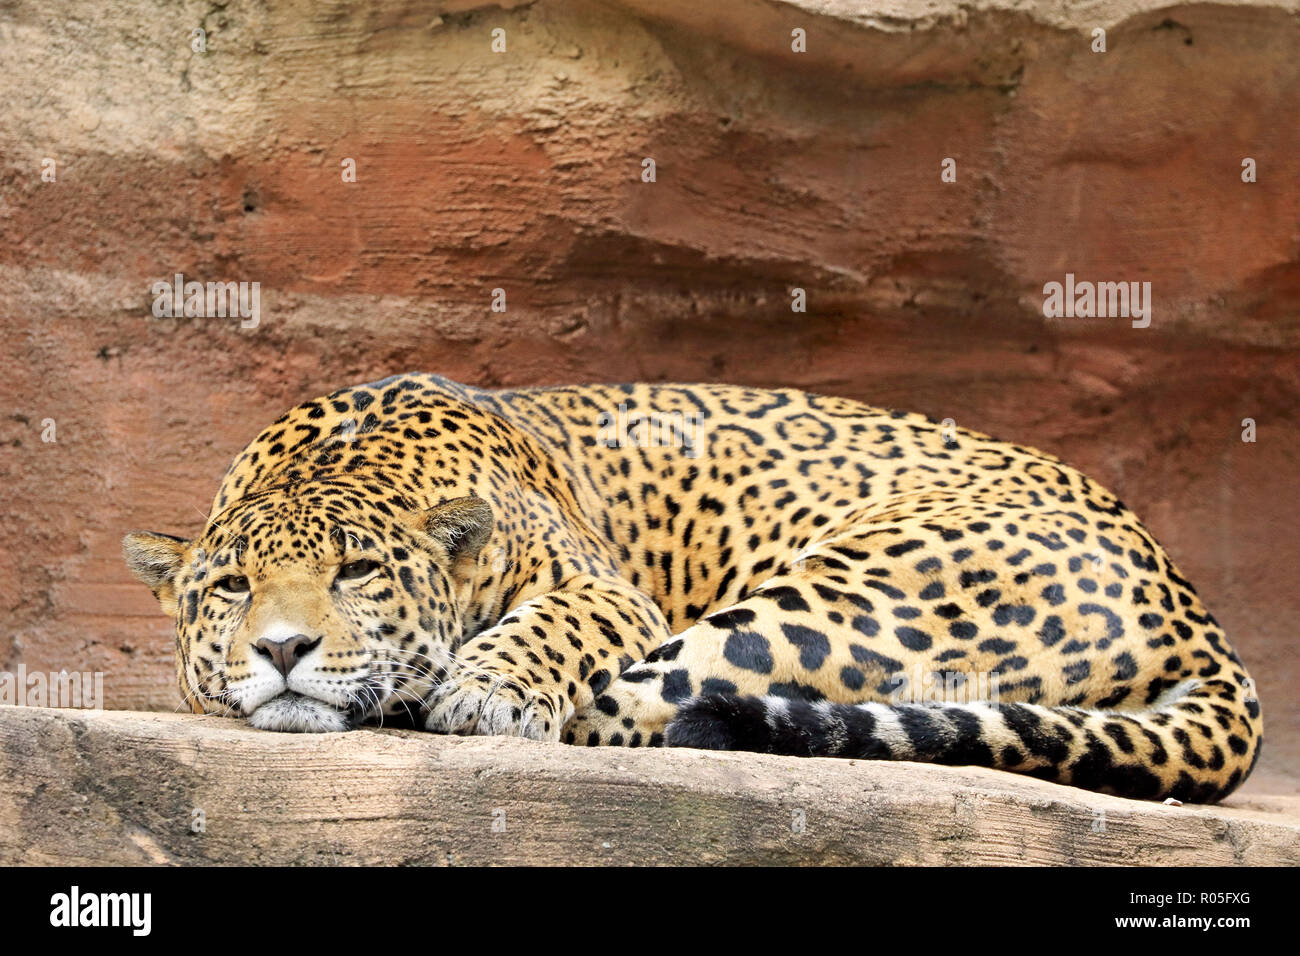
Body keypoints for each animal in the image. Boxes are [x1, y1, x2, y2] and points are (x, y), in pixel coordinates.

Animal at [124, 372, 1262, 802]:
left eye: (357, 571)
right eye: (229, 588)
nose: (282, 649)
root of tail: (1196, 610)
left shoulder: (600, 588)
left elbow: (547, 635)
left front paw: (483, 691)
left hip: (838, 596)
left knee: (646, 711)